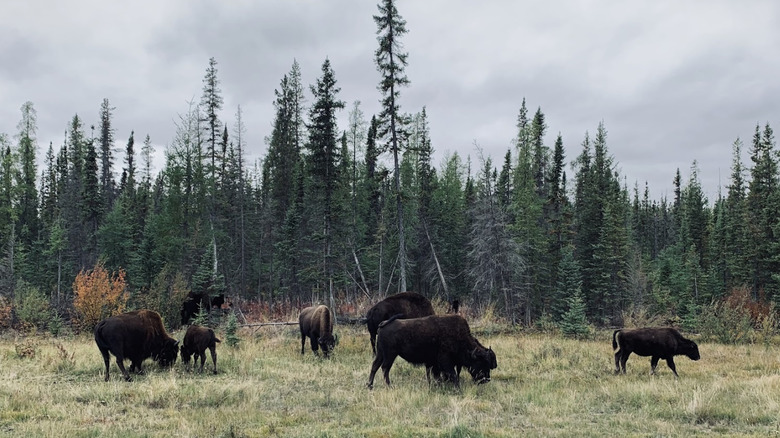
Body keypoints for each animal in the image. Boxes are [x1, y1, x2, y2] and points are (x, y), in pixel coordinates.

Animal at [367, 314, 497, 389]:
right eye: (481, 363)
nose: (486, 380)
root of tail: (383, 324)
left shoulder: (433, 363)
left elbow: (438, 375)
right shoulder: (444, 360)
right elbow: (452, 374)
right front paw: (457, 389)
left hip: (380, 354)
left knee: (375, 366)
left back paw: (370, 386)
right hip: (390, 355)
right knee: (385, 368)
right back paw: (389, 386)